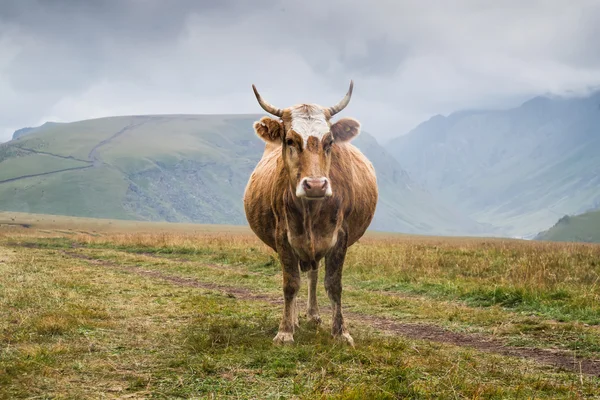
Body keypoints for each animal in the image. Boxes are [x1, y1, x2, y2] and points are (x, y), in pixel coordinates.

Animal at [243, 81, 376, 346]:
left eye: (329, 141)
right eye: (290, 140)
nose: (315, 185)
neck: (311, 209)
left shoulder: (340, 236)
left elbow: (333, 284)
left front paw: (341, 332)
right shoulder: (283, 236)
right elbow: (290, 283)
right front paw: (285, 331)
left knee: (314, 274)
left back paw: (313, 314)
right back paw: (295, 319)